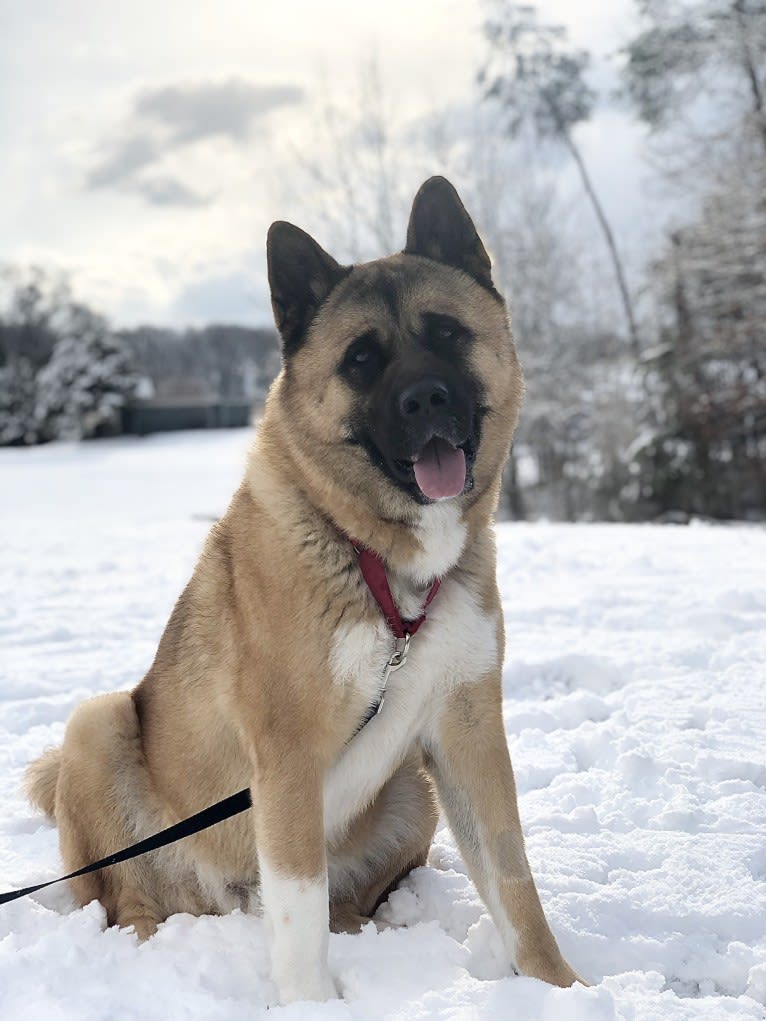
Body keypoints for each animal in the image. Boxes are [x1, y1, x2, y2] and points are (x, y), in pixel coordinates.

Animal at [27, 177, 584, 1004]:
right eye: (361, 359)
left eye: (448, 333)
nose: (425, 399)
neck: (381, 565)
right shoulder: (286, 754)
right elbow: (298, 910)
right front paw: (311, 1005)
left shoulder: (467, 725)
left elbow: (514, 880)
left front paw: (560, 987)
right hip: (96, 724)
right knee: (126, 895)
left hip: (412, 787)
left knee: (349, 894)